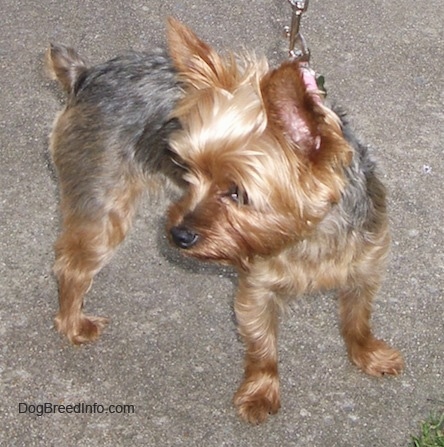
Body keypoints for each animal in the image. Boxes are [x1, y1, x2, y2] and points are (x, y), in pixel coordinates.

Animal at [47, 18, 402, 424]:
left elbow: (358, 318)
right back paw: (73, 323)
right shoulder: (257, 289)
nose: (178, 235)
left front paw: (368, 354)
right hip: (103, 207)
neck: (308, 235)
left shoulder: (365, 265)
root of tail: (86, 75)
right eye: (187, 169)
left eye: (238, 193)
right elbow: (262, 345)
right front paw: (261, 393)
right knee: (72, 267)